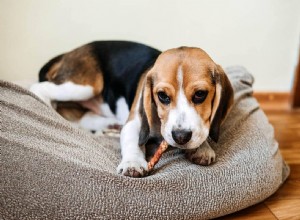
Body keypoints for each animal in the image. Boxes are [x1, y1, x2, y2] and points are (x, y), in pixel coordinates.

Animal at [29, 41, 233, 179]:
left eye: (200, 94)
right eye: (162, 96)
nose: (181, 136)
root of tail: (69, 53)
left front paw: (202, 148)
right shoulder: (135, 122)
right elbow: (132, 140)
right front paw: (132, 163)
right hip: (85, 86)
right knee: (40, 90)